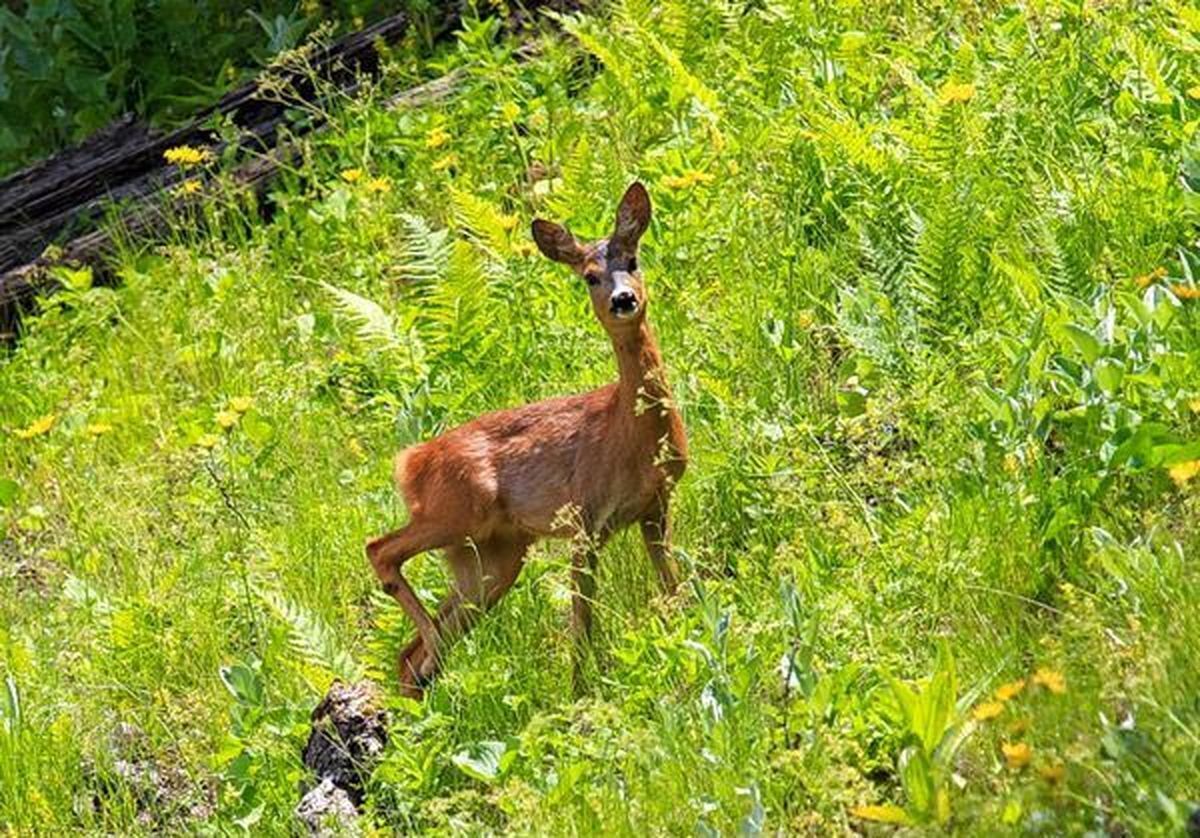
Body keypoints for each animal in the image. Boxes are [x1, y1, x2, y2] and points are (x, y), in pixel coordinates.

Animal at [362, 184, 686, 696]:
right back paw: (433, 657)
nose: (623, 299)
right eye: (589, 276)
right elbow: (581, 620)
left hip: (493, 557)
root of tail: (409, 461)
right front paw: (580, 690)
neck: (634, 433)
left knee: (408, 655)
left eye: (632, 259)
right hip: (457, 511)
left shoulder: (655, 506)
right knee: (380, 550)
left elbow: (671, 586)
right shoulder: (585, 518)